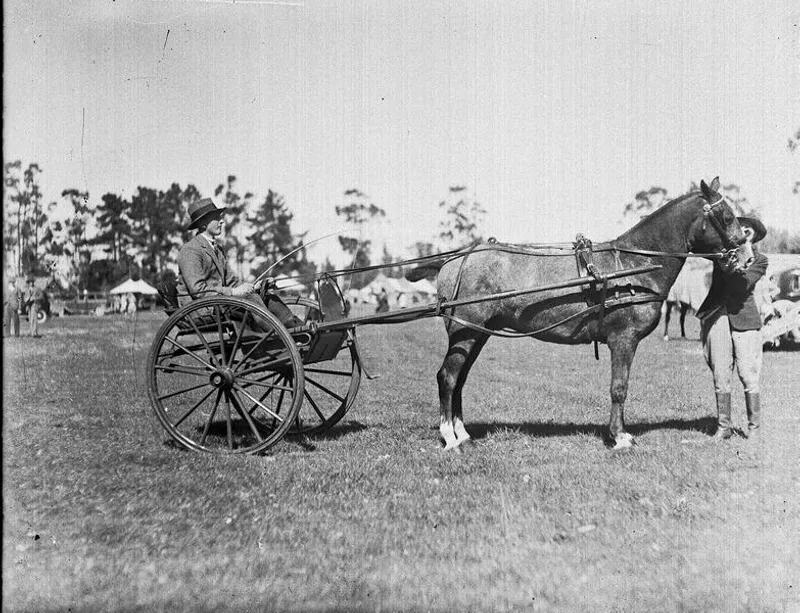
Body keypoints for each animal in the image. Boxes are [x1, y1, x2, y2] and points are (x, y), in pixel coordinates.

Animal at [407, 177, 744, 450]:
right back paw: (450, 438)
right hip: (466, 331)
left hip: (477, 334)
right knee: (448, 377)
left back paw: (463, 434)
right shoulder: (623, 339)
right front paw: (620, 437)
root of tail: (454, 260)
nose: (743, 253)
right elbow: (619, 388)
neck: (633, 265)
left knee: (460, 379)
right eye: (727, 216)